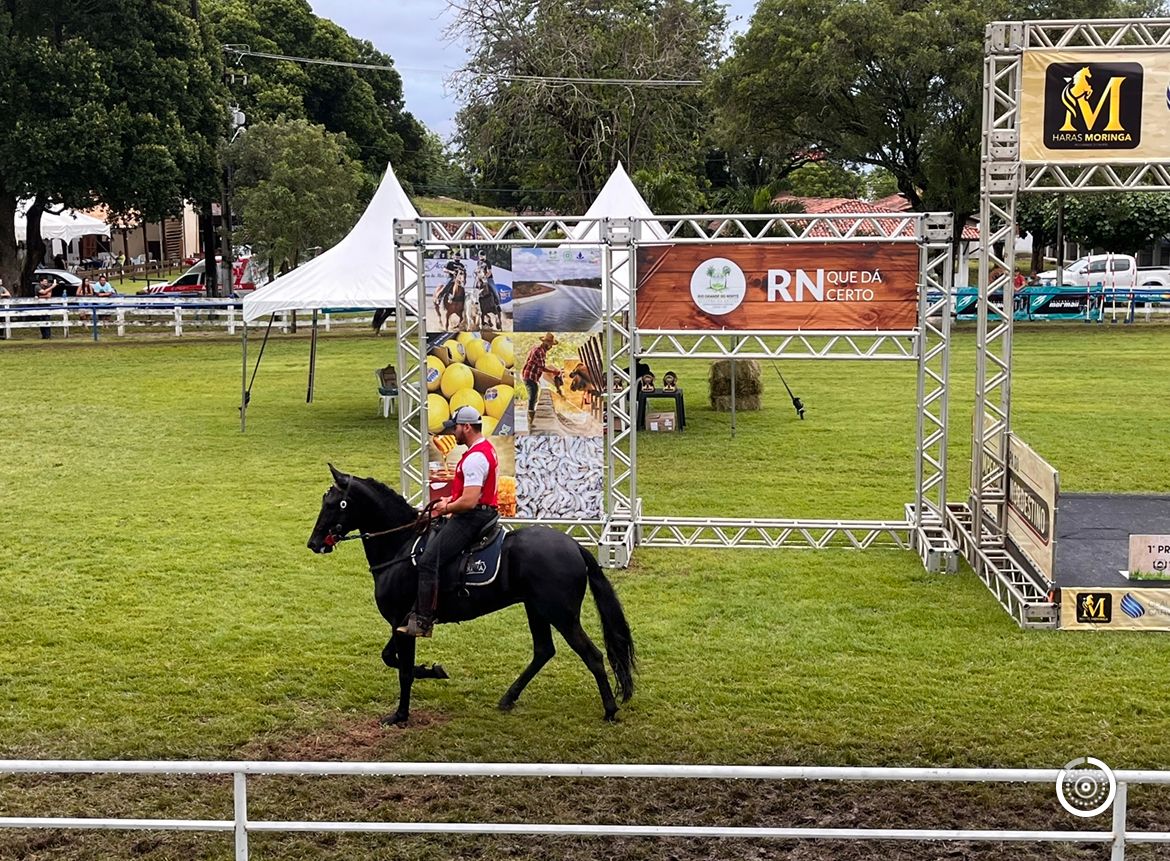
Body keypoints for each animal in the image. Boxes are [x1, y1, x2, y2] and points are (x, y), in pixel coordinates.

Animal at [306, 467, 636, 725]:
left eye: (336, 504)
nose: (313, 543)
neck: (401, 544)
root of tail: (575, 546)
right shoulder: (401, 622)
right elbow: (390, 658)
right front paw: (433, 670)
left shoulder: (402, 621)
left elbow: (403, 671)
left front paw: (400, 715)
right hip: (537, 610)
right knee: (544, 651)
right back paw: (508, 698)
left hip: (562, 615)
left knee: (592, 655)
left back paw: (609, 710)